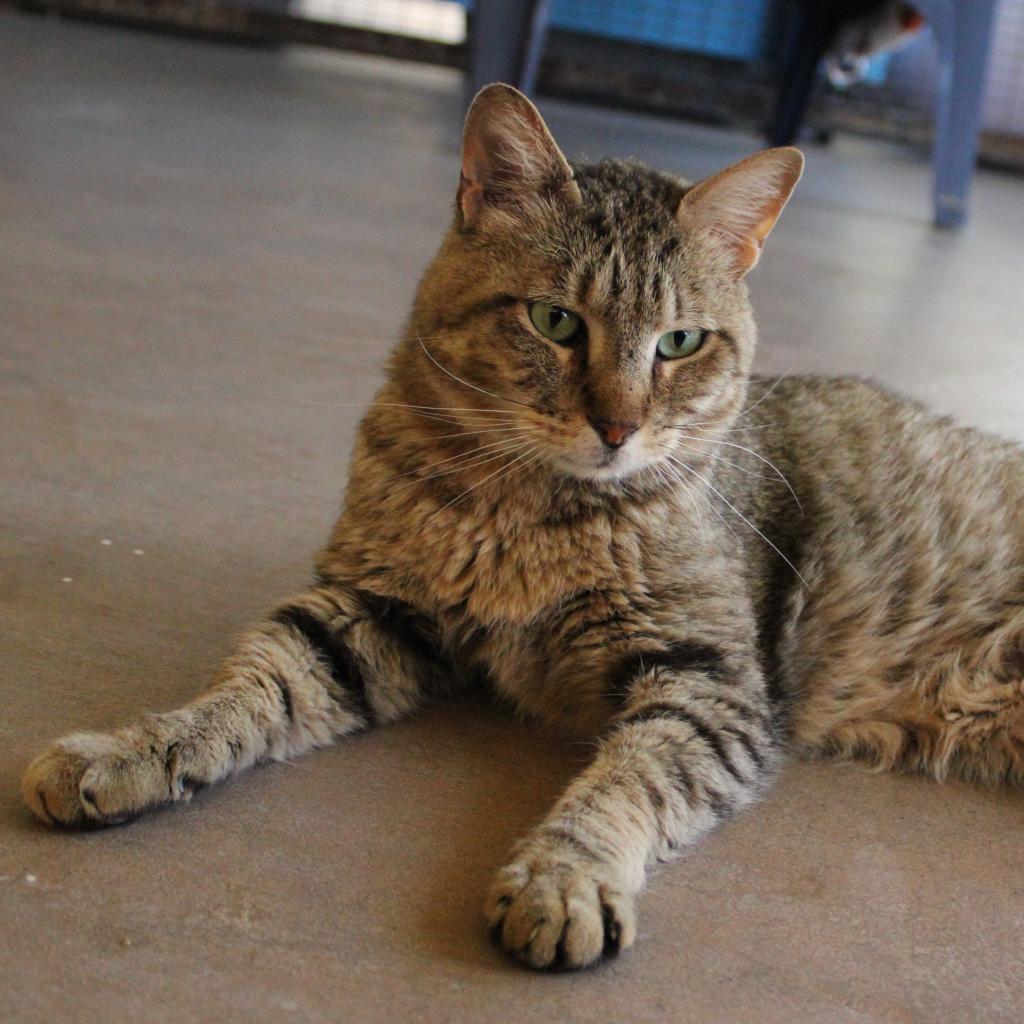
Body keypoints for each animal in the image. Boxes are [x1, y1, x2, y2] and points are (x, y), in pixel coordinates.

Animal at [22, 83, 1024, 970]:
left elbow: (628, 780)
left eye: (680, 343)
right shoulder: (371, 611)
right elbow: (243, 687)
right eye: (554, 321)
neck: (526, 512)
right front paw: (133, 749)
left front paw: (565, 877)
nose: (618, 426)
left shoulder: (709, 680)